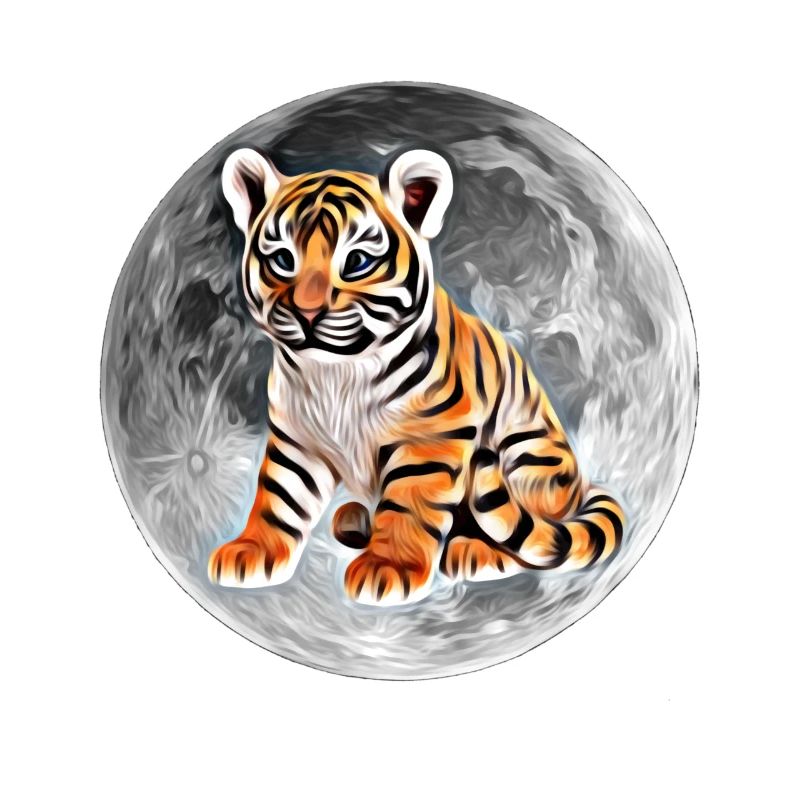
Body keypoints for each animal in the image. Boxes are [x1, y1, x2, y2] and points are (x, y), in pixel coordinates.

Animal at [208, 146, 624, 605]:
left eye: (356, 262)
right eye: (283, 260)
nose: (306, 312)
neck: (334, 372)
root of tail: (582, 488)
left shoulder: (431, 437)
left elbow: (409, 504)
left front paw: (387, 567)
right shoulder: (297, 438)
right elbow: (280, 497)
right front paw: (250, 551)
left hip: (529, 457)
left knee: (534, 535)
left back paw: (474, 551)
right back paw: (354, 520)